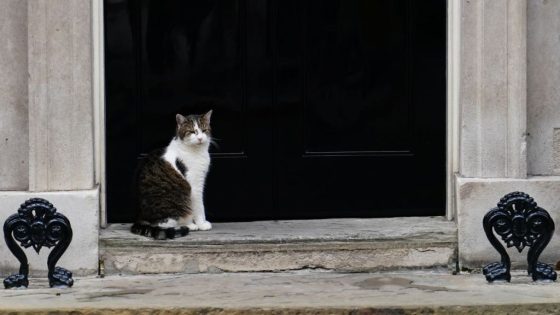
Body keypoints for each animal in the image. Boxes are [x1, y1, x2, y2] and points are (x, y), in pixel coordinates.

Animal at [130, 110, 213, 239]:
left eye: (204, 130)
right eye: (192, 131)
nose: (200, 138)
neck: (197, 152)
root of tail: (140, 217)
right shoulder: (194, 185)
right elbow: (199, 207)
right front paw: (202, 224)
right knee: (164, 223)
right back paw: (188, 225)